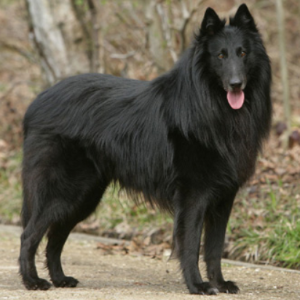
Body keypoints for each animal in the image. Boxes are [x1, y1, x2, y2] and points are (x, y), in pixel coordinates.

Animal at [19, 3, 272, 296]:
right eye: (220, 55)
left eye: (242, 53)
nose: (236, 84)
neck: (209, 106)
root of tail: (36, 102)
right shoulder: (193, 196)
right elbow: (190, 244)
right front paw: (197, 285)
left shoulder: (223, 199)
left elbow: (214, 248)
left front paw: (219, 283)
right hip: (64, 191)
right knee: (29, 234)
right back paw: (32, 281)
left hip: (84, 196)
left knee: (54, 237)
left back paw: (60, 278)